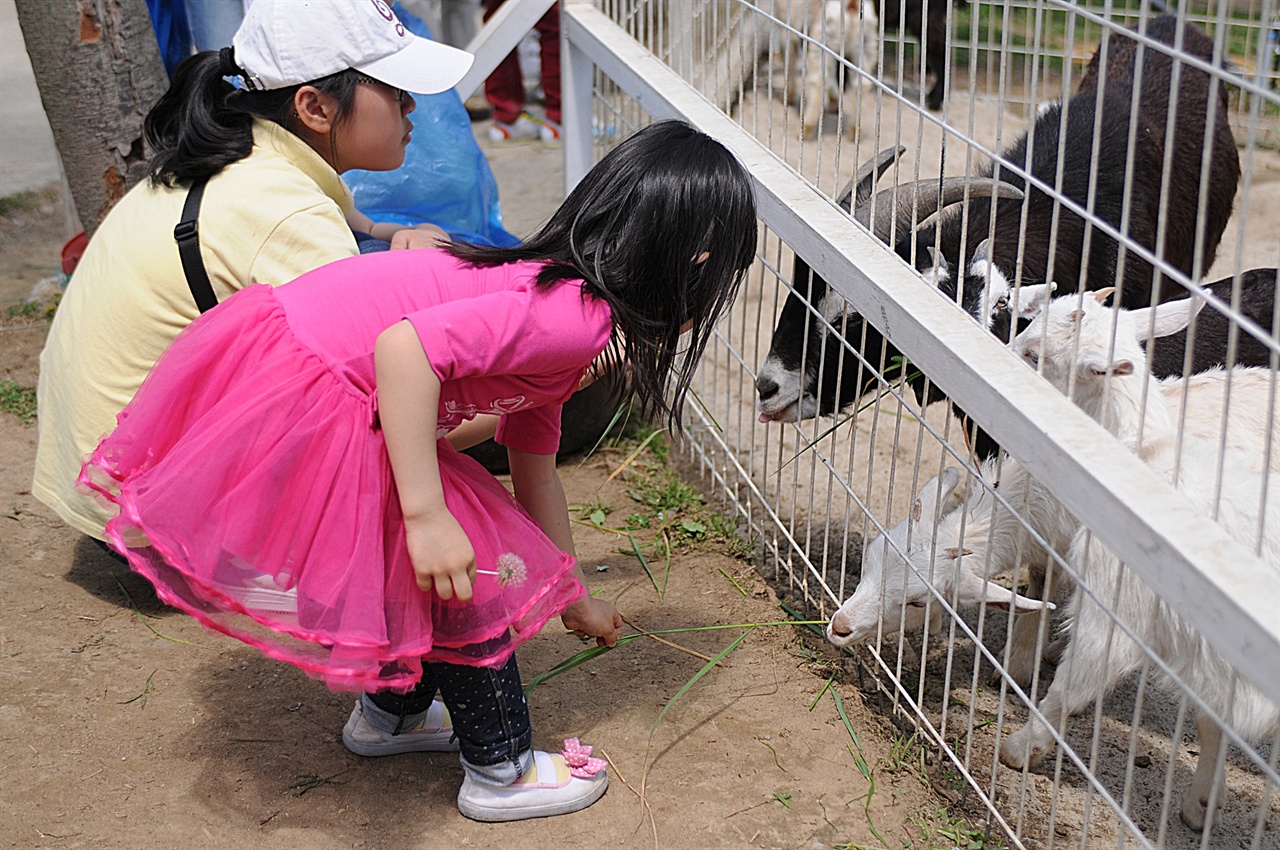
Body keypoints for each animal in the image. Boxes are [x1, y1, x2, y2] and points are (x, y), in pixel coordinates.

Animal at [998, 291, 1280, 829]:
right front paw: (1202, 801)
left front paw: (1022, 747)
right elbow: (1211, 722)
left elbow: (1073, 683)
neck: (1142, 460)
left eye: (1035, 355)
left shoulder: (1116, 603)